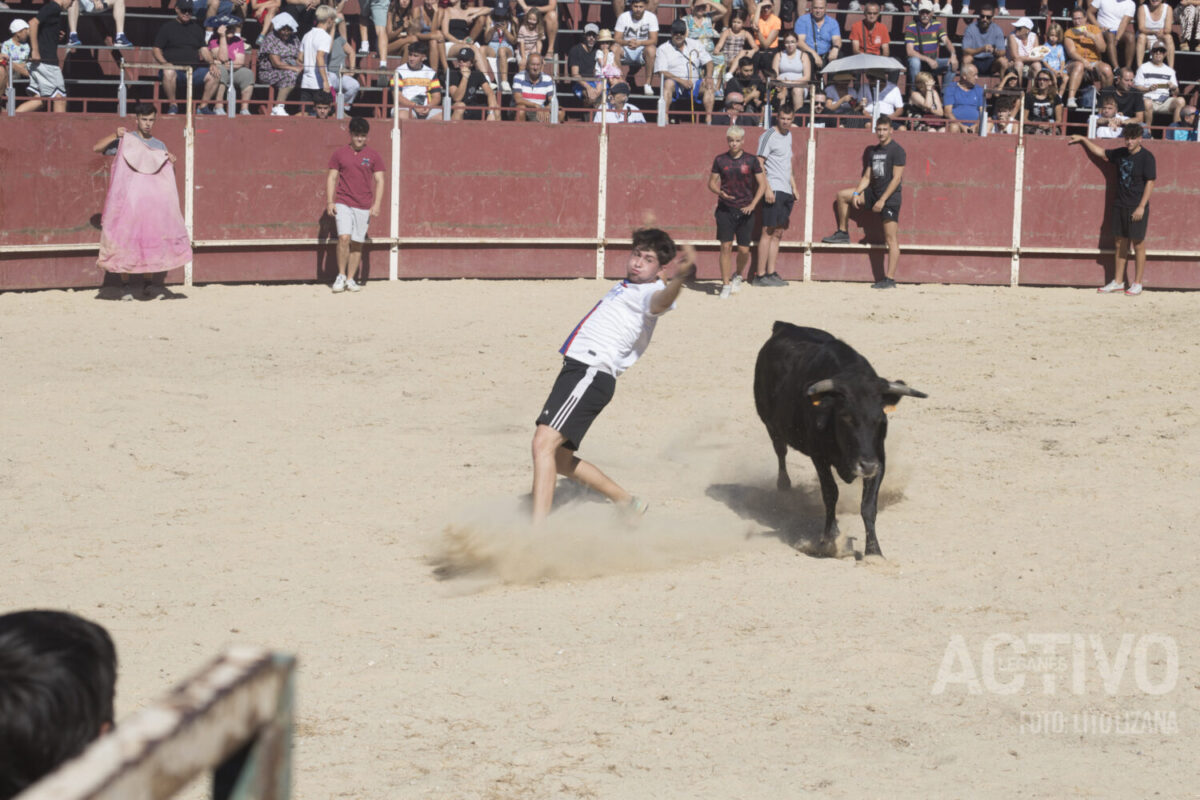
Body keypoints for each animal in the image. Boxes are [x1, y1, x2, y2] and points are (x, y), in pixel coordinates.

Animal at [748, 321, 926, 561]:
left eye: (881, 418)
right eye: (846, 417)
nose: (866, 466)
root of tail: (784, 326)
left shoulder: (879, 458)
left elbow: (868, 505)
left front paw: (874, 552)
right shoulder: (819, 457)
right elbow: (830, 493)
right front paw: (830, 540)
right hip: (770, 424)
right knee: (780, 451)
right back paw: (784, 485)